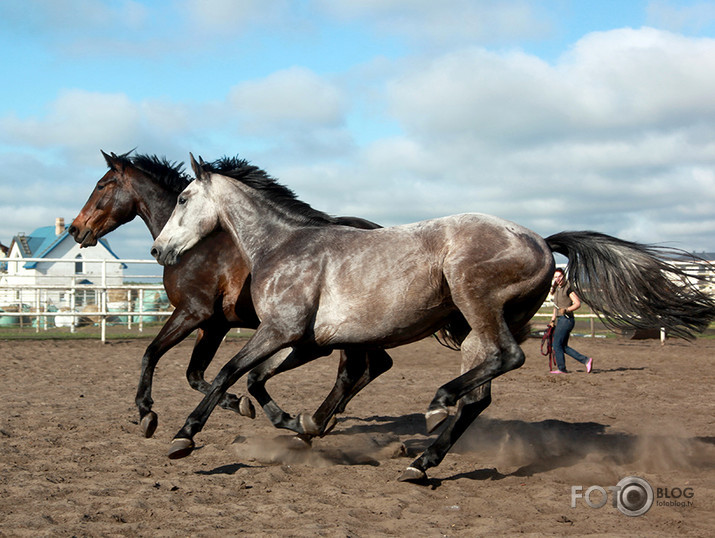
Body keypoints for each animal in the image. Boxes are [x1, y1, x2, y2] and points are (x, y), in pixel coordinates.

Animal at [151, 153, 715, 480]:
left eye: (184, 198)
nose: (158, 250)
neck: (284, 245)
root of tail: (539, 239)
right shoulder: (305, 339)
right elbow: (253, 380)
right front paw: (301, 423)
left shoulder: (281, 331)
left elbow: (227, 373)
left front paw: (183, 437)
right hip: (474, 328)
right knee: (480, 395)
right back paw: (424, 460)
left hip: (475, 303)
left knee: (506, 361)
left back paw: (436, 405)